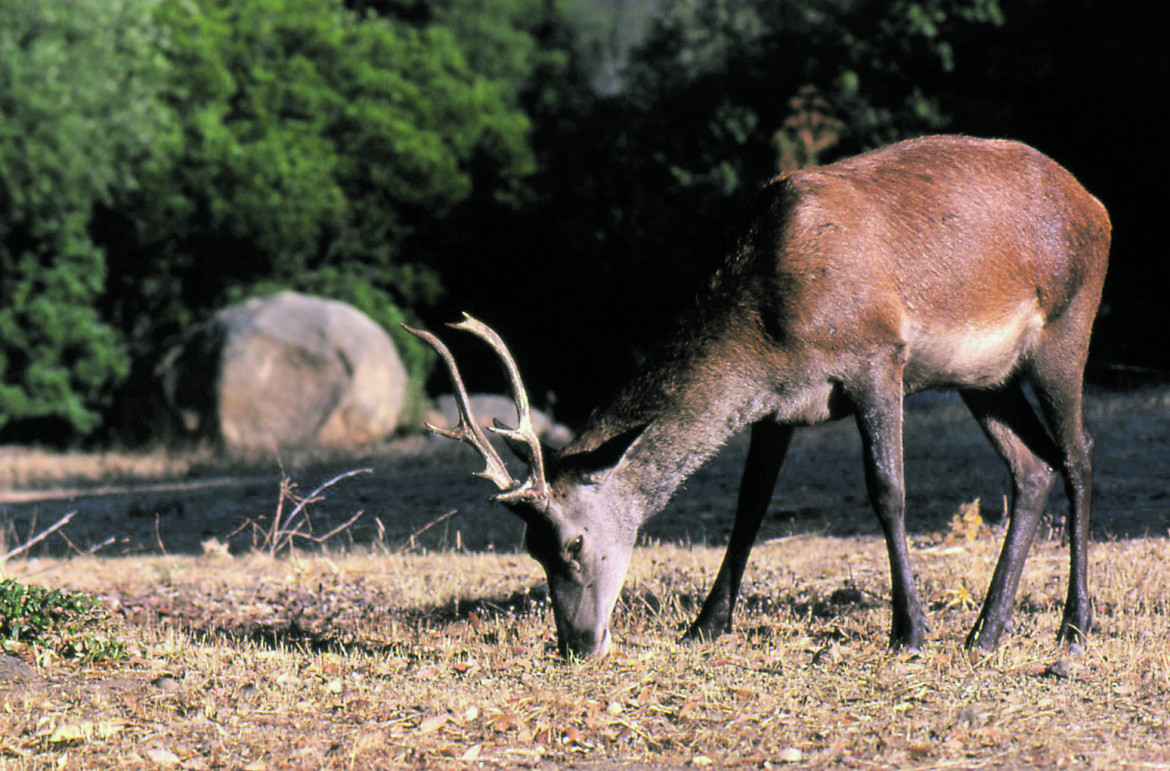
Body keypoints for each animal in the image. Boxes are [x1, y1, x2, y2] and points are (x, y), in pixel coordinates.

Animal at [407, 137, 1109, 659]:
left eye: (573, 542)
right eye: (530, 548)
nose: (578, 643)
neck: (773, 321)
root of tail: (1095, 205)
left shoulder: (878, 359)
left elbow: (887, 490)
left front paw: (908, 632)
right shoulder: (779, 406)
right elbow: (750, 505)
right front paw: (705, 624)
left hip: (1066, 330)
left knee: (1078, 453)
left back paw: (1073, 627)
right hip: (985, 378)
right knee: (1032, 468)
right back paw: (986, 633)